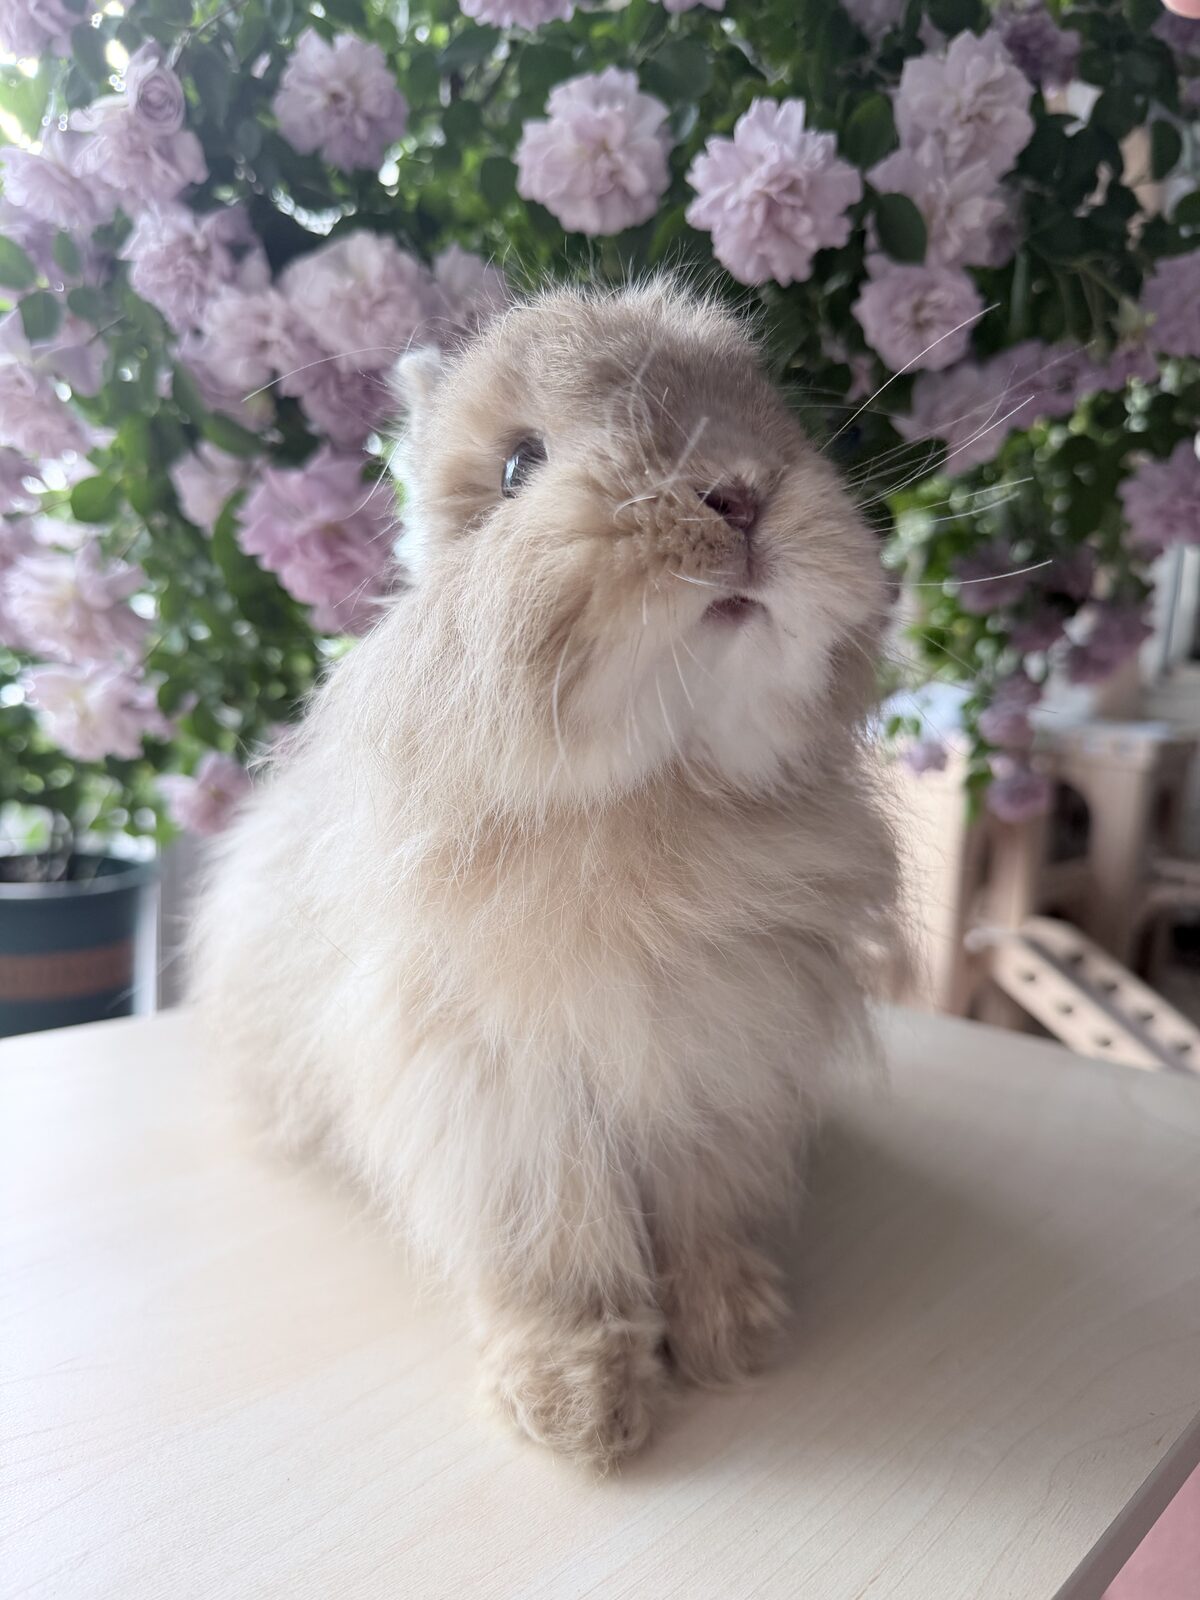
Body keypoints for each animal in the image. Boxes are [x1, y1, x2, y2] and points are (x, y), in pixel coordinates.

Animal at [189, 278, 902, 1470]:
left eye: (773, 416)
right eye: (520, 465)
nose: (740, 494)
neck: (655, 799)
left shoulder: (723, 1075)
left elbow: (705, 1217)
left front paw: (735, 1336)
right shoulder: (502, 1103)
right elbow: (556, 1252)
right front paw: (579, 1408)